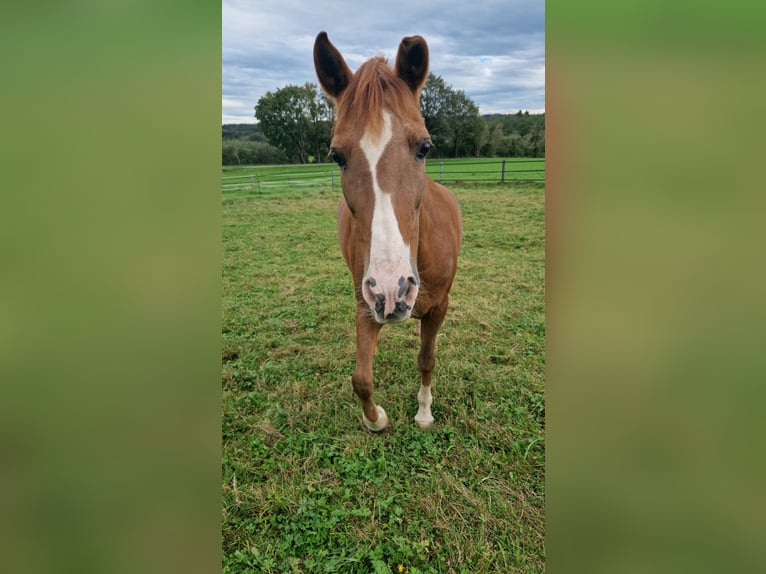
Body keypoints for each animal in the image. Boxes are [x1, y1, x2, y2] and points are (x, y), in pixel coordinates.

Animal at [312, 31, 462, 432]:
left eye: (424, 147)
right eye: (336, 155)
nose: (393, 290)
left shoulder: (439, 308)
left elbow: (426, 359)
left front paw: (424, 413)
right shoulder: (366, 305)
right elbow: (361, 378)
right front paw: (376, 419)